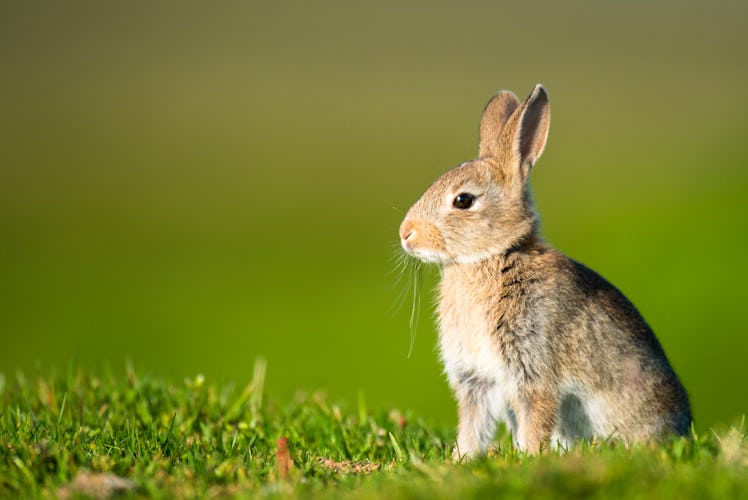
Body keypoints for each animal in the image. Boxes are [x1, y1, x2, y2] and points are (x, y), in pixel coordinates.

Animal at [400, 84, 692, 458]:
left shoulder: (533, 367)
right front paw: (461, 459)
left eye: (463, 200)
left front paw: (528, 457)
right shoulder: (476, 380)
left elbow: (535, 418)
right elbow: (473, 426)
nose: (406, 234)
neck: (493, 257)